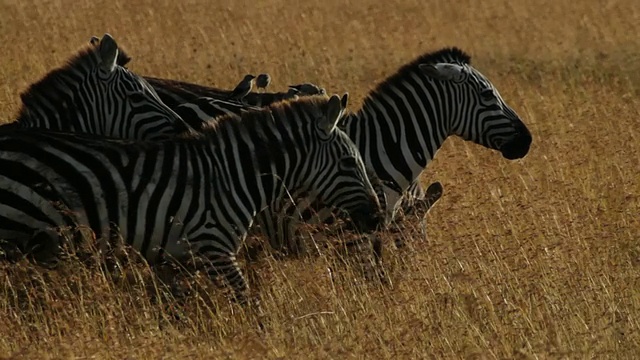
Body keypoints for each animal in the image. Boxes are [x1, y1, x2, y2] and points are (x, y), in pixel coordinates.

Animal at [0, 93, 382, 304]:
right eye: (350, 162)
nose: (377, 217)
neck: (232, 176)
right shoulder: (214, 249)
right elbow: (249, 304)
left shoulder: (172, 261)